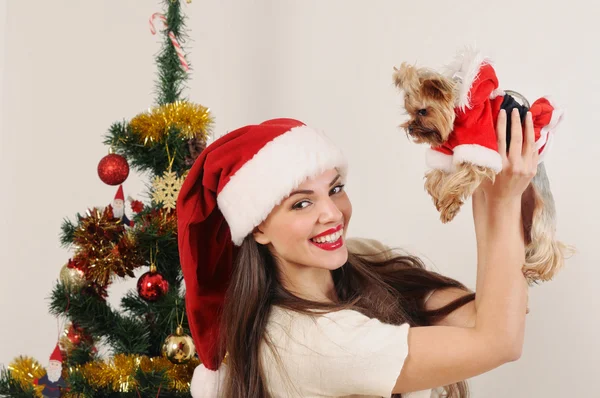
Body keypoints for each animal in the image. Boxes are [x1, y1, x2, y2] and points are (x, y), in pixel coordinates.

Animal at [394, 47, 572, 282]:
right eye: (409, 111)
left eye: (422, 111)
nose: (410, 128)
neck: (458, 113)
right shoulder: (447, 147)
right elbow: (434, 177)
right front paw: (441, 200)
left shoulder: (480, 140)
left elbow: (463, 175)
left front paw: (449, 204)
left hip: (542, 210)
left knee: (549, 242)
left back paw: (539, 269)